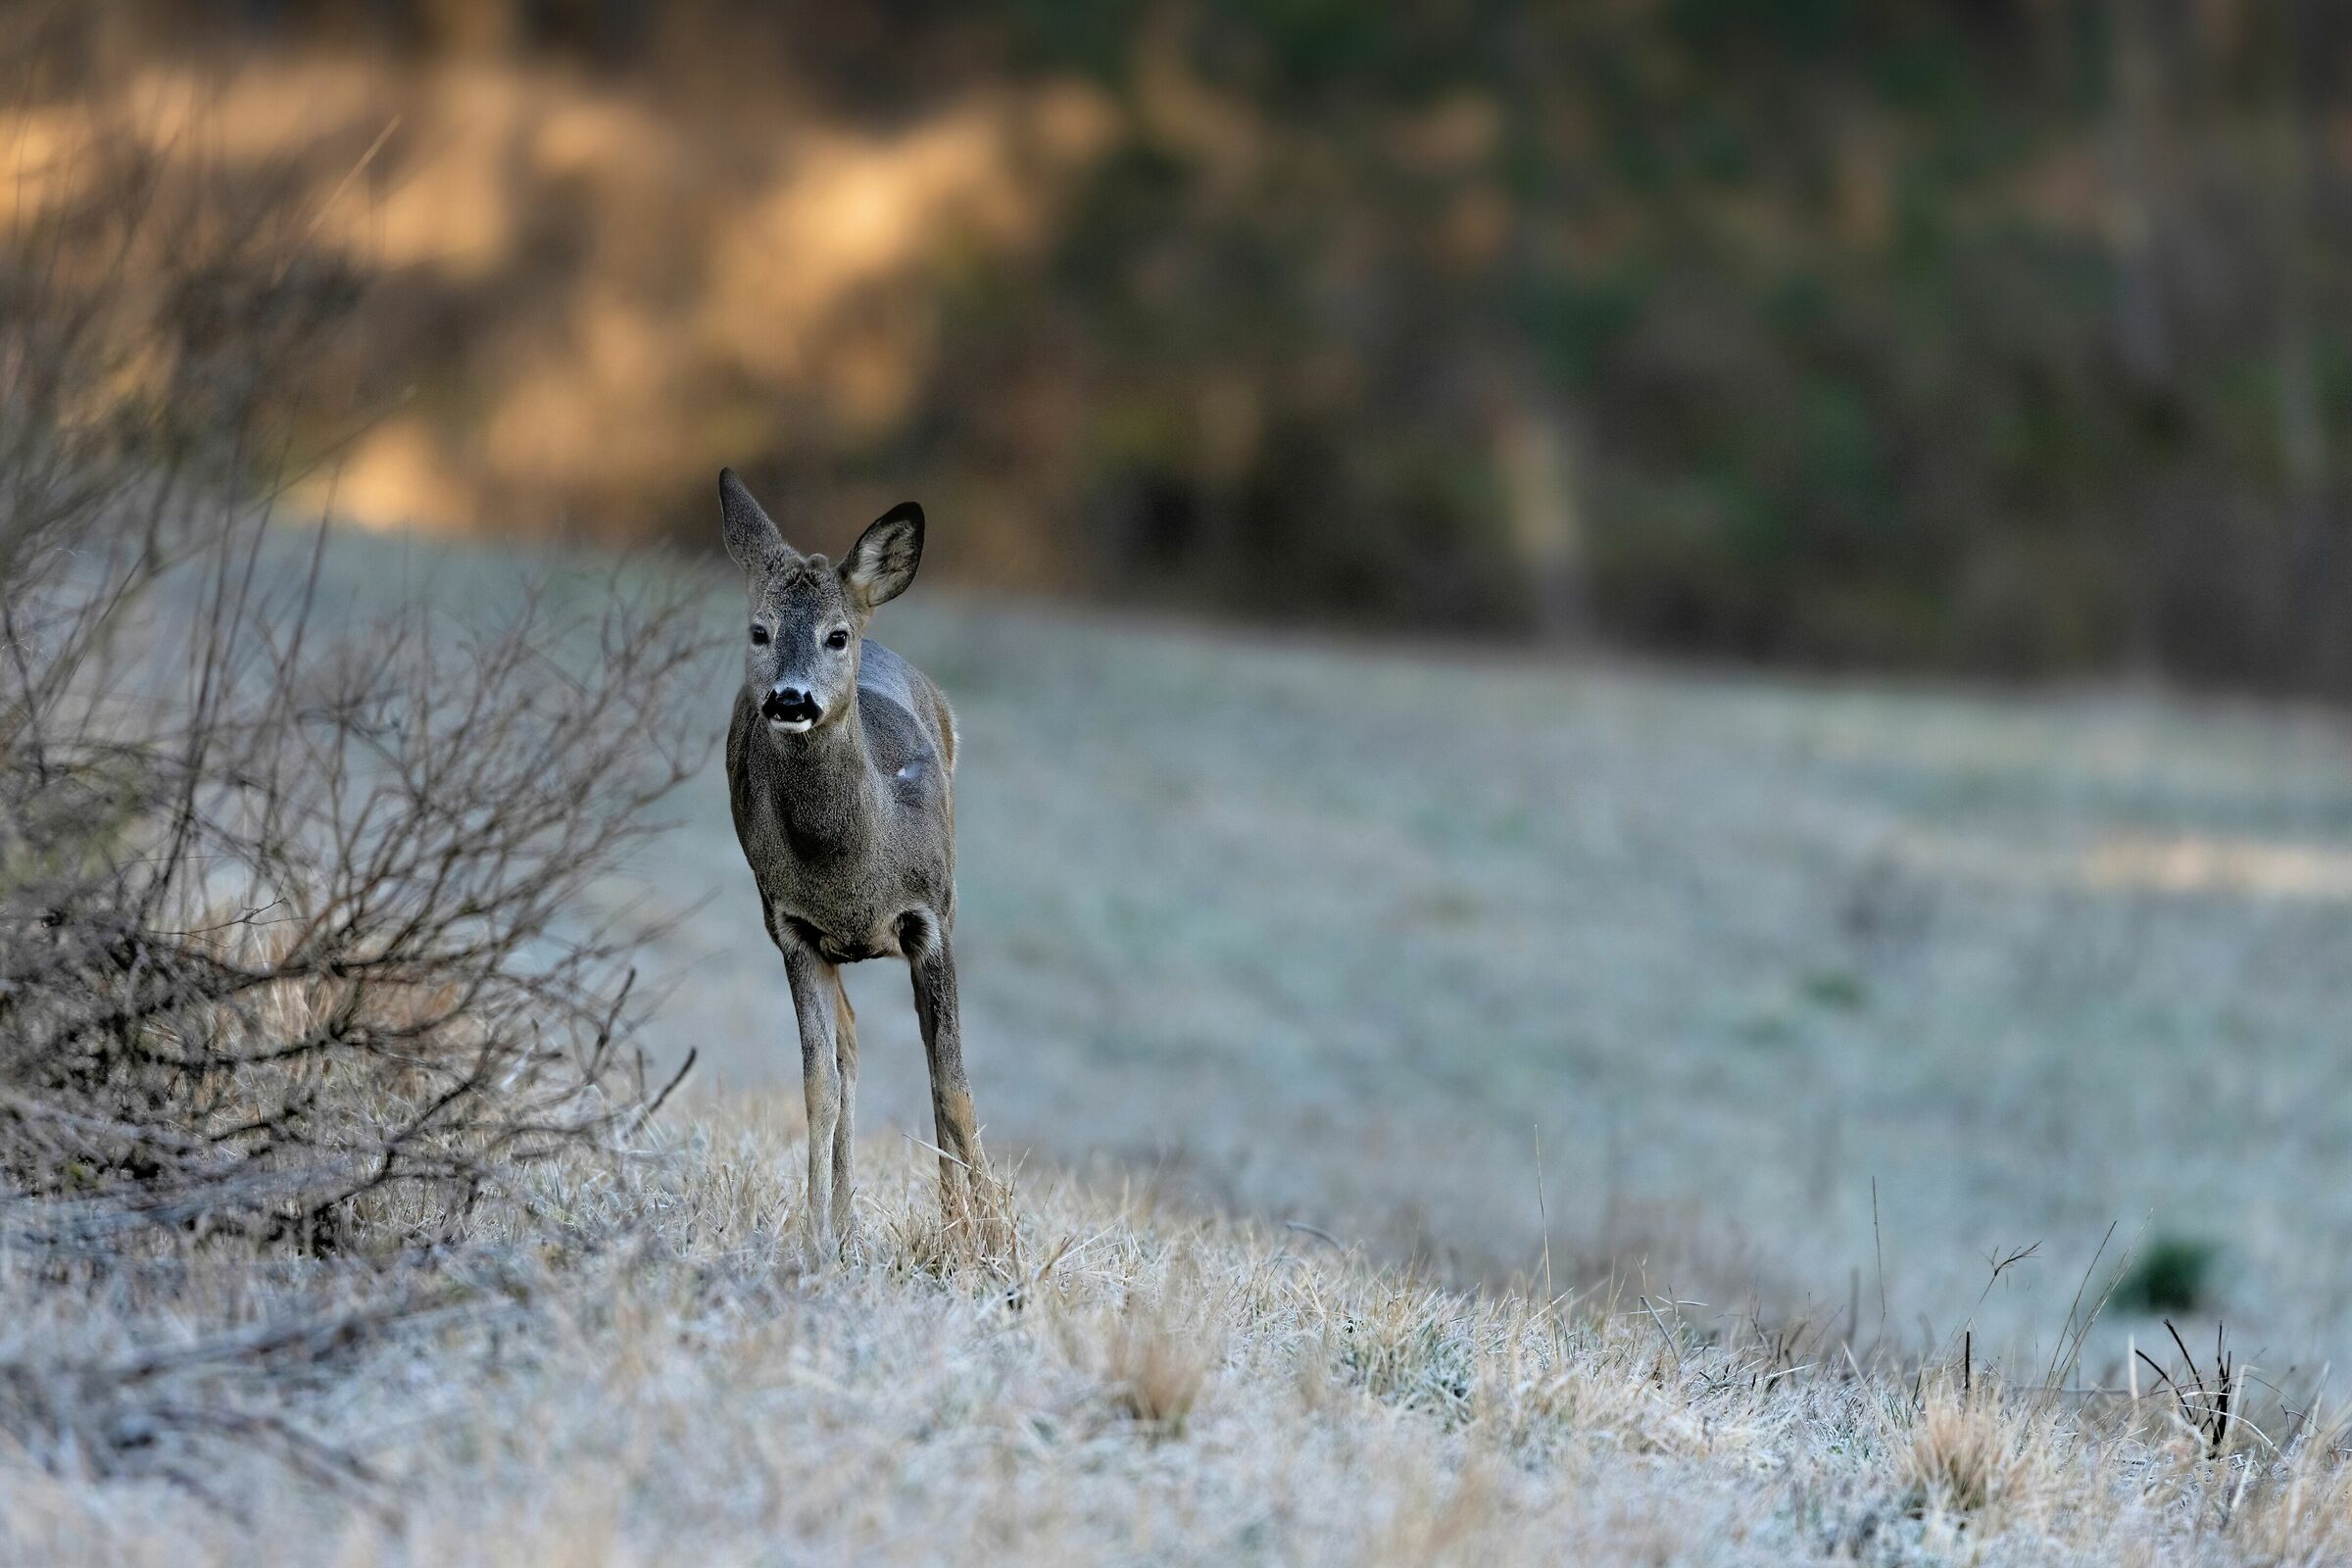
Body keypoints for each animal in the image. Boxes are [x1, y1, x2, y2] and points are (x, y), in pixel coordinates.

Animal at [716, 468, 986, 1253]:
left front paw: (992, 1245)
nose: (790, 699)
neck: (853, 875)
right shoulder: (793, 930)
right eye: (760, 631)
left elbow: (952, 1087)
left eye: (836, 636)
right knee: (852, 1043)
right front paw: (816, 1237)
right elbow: (818, 1087)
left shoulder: (931, 919)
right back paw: (845, 1217)